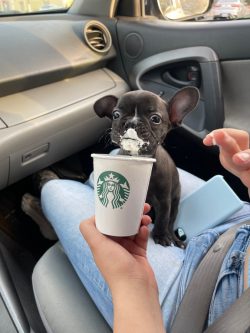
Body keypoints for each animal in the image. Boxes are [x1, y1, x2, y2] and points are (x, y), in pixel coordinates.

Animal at [93, 88, 199, 246]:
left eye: (155, 119)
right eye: (115, 115)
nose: (131, 122)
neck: (138, 157)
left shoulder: (164, 201)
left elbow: (163, 218)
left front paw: (161, 236)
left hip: (175, 203)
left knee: (170, 222)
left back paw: (174, 238)